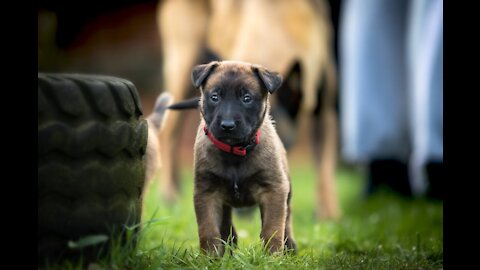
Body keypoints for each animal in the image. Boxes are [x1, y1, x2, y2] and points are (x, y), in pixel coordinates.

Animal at [157, 0, 338, 219]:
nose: (241, 211)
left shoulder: (325, 111)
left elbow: (325, 168)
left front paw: (328, 213)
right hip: (183, 65)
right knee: (169, 132)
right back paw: (170, 192)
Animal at [191, 60, 296, 255]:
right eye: (215, 97)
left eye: (246, 98)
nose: (227, 125)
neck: (235, 152)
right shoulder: (206, 192)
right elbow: (208, 230)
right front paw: (210, 257)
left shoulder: (274, 190)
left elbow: (272, 229)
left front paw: (272, 256)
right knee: (226, 226)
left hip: (287, 192)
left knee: (287, 222)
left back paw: (290, 247)